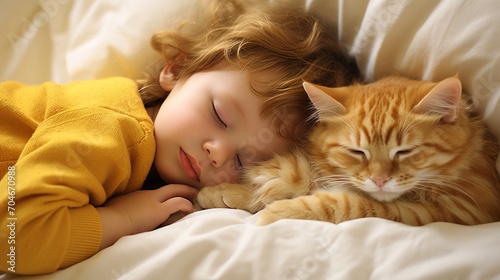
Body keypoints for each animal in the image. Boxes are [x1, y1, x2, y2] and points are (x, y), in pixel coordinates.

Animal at [197, 75, 500, 226]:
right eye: (357, 152)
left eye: (404, 152)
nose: (379, 180)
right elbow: (295, 174)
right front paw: (222, 193)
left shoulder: (457, 210)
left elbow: (346, 203)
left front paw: (276, 211)